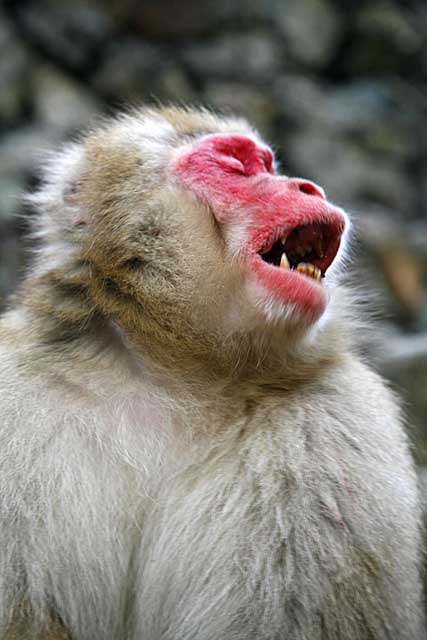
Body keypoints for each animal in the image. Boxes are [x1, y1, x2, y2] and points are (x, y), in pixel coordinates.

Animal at [0, 107, 424, 636]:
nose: (309, 187)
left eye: (268, 164)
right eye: (235, 164)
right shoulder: (17, 402)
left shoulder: (333, 426)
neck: (177, 370)